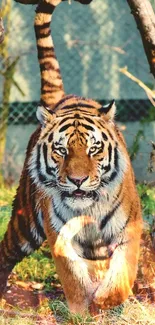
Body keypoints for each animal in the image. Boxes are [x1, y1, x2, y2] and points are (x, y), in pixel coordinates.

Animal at [0, 0, 142, 316]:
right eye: (61, 150)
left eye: (93, 149)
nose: (78, 180)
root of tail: (61, 99)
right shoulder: (59, 235)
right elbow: (73, 278)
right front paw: (80, 310)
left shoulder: (128, 229)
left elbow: (122, 275)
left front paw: (105, 301)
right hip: (25, 222)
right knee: (5, 253)